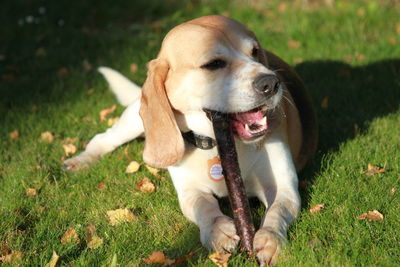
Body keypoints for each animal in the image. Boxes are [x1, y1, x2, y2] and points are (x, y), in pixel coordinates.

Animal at [64, 16, 318, 266]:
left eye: (255, 51)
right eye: (213, 64)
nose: (271, 83)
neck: (216, 144)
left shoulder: (283, 186)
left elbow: (278, 210)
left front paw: (270, 240)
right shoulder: (189, 189)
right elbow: (202, 206)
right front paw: (218, 230)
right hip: (135, 120)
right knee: (102, 139)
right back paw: (80, 161)